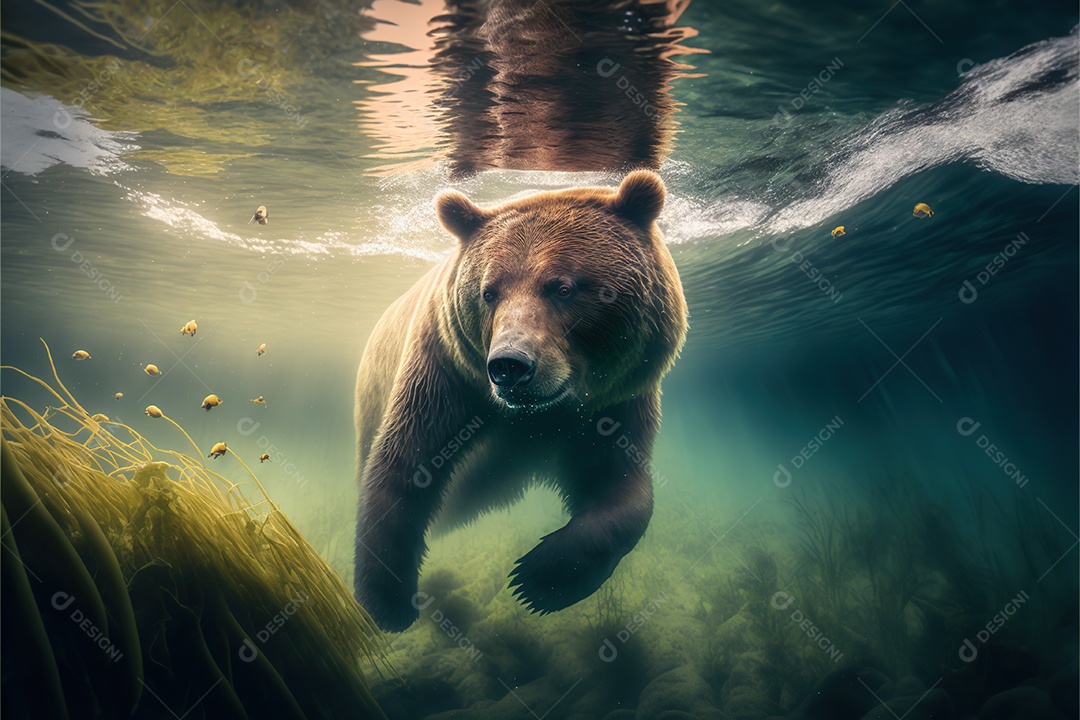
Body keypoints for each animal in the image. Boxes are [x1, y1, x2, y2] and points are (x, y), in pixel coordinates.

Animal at [354, 170, 687, 632]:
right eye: (488, 292)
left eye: (563, 288)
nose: (510, 366)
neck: (537, 415)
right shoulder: (445, 375)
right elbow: (402, 467)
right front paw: (388, 602)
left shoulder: (612, 406)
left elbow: (622, 488)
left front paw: (539, 578)